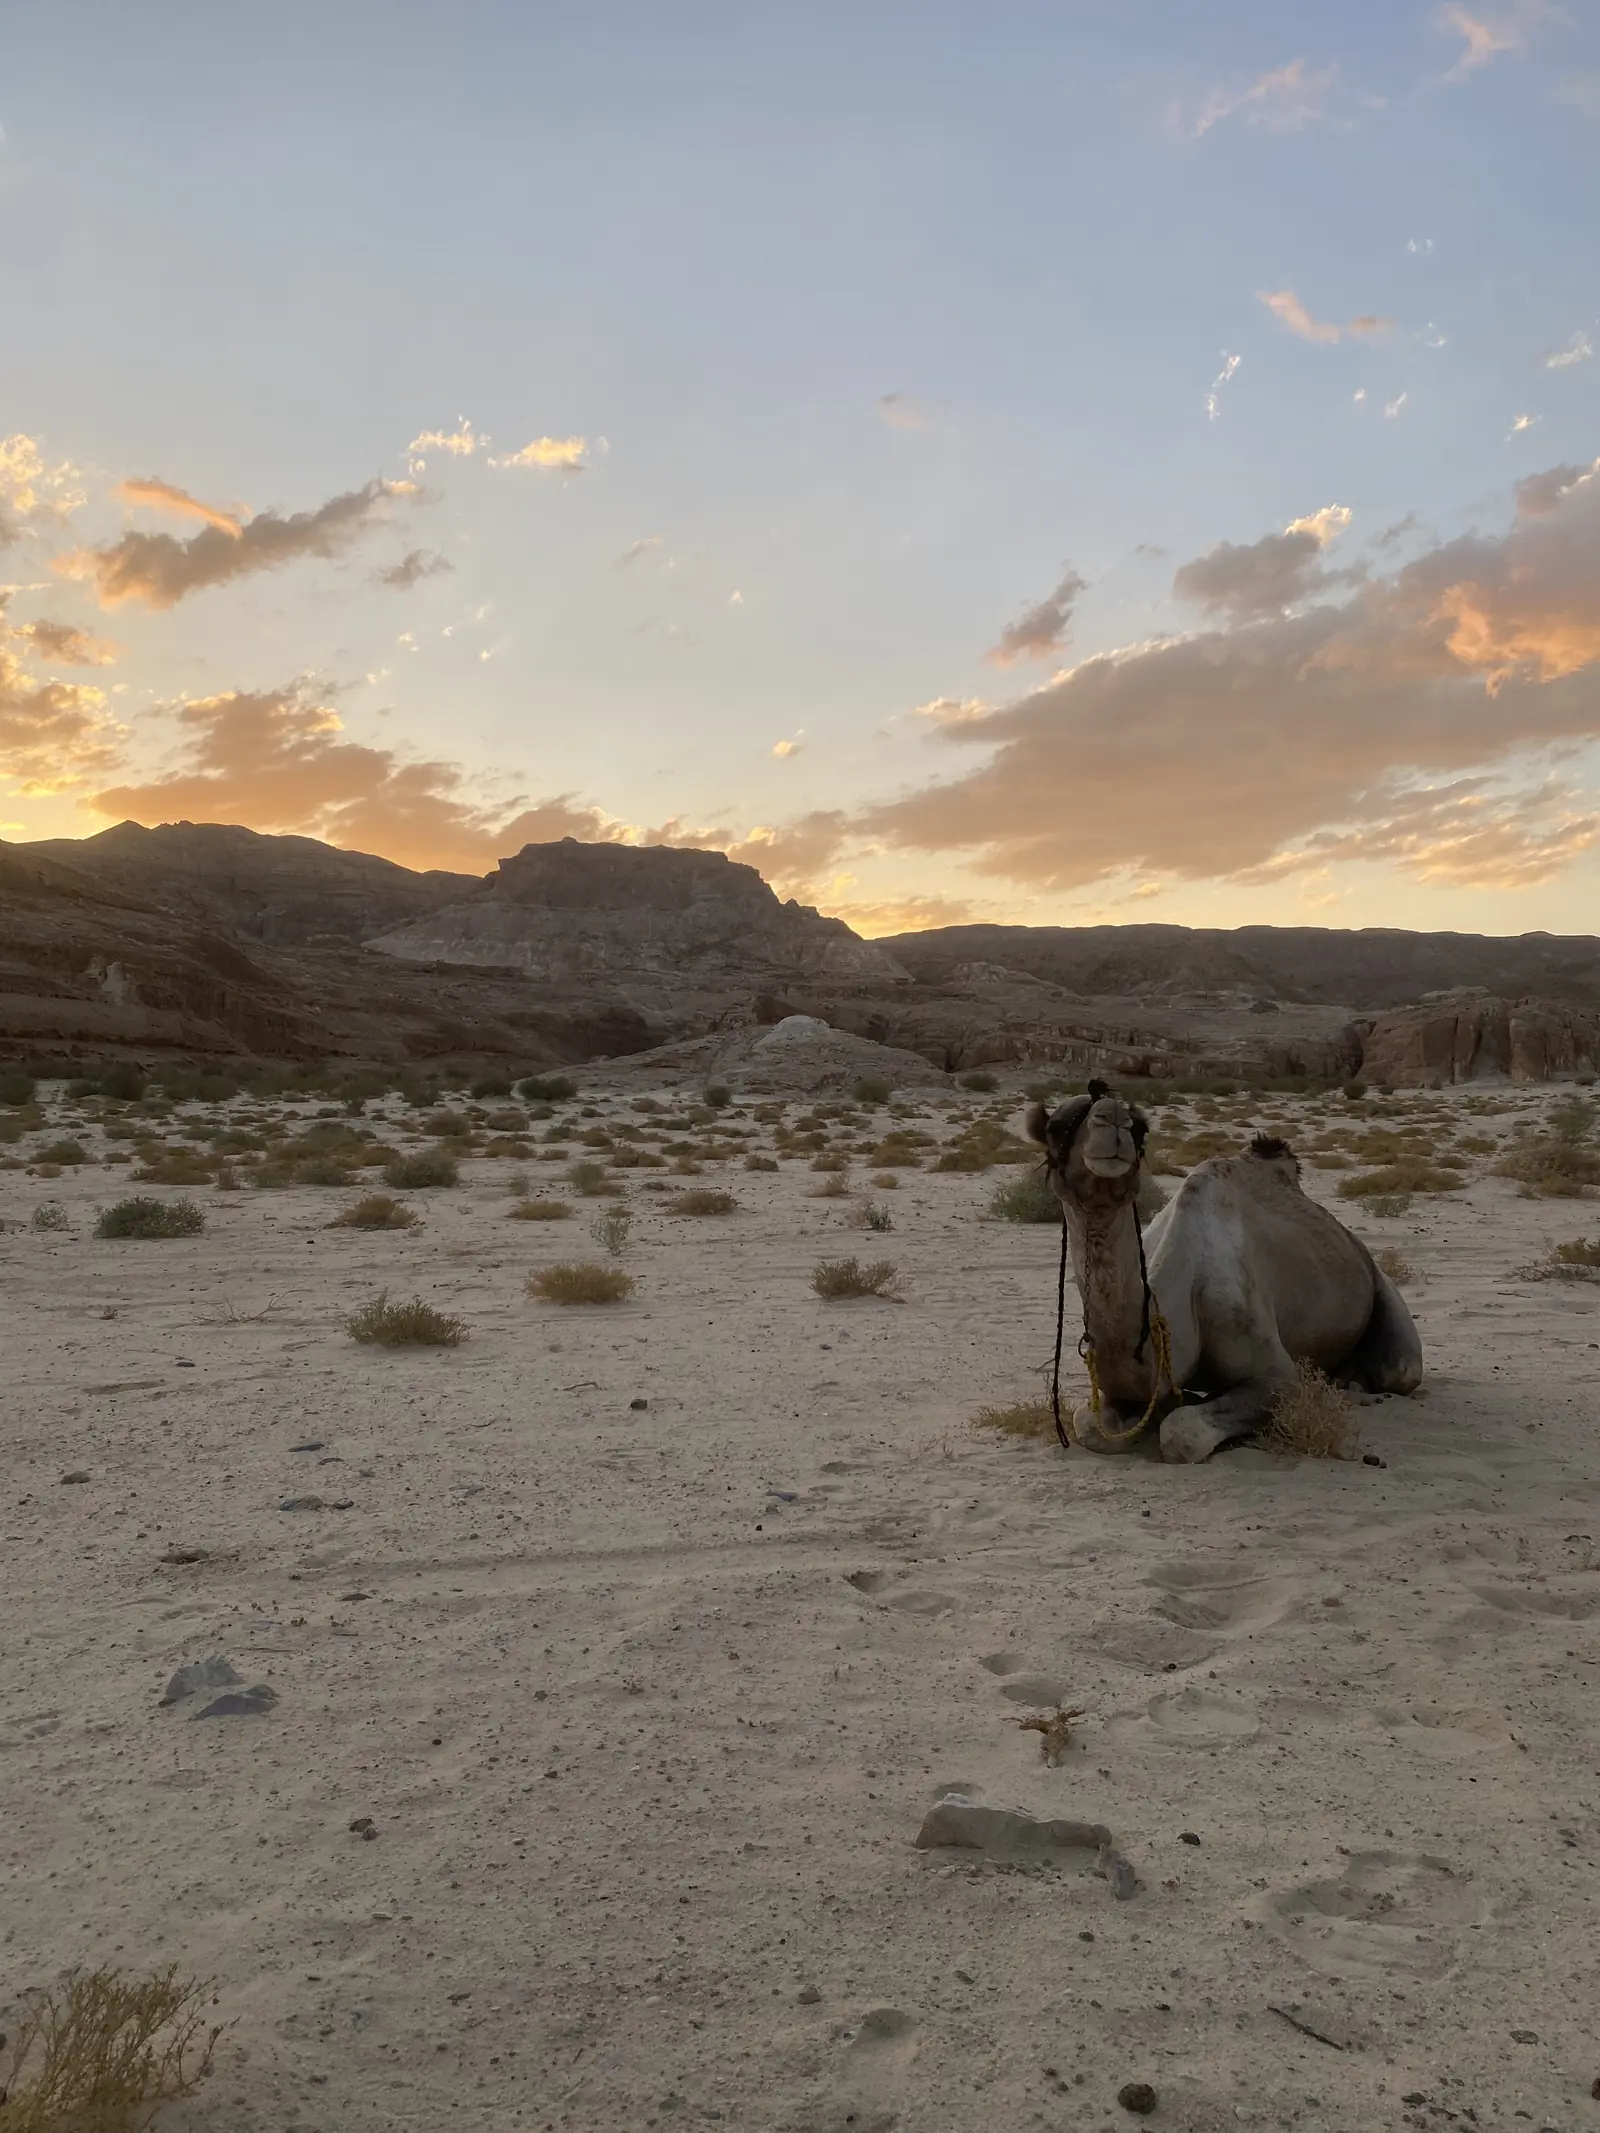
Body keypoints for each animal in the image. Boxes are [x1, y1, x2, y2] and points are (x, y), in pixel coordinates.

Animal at [1025, 1082, 1423, 1463]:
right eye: (1057, 1126)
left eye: (1139, 1127)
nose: (1113, 1120)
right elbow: (1088, 1424)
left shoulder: (1278, 1373)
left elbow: (1181, 1434)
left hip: (1384, 1300)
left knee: (1399, 1369)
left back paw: (1353, 1384)